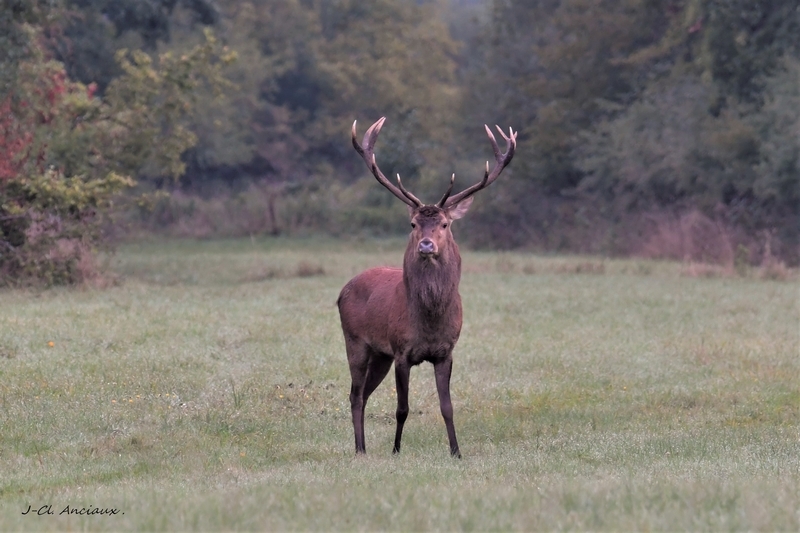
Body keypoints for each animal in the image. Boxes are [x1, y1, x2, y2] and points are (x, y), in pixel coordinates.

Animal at [340, 116, 520, 458]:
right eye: (413, 224)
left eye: (445, 224)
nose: (426, 244)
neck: (430, 319)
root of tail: (343, 290)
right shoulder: (401, 351)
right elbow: (402, 408)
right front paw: (396, 450)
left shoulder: (446, 351)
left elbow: (447, 407)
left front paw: (456, 452)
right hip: (356, 341)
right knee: (355, 394)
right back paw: (359, 449)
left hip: (379, 355)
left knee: (364, 394)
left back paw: (363, 446)